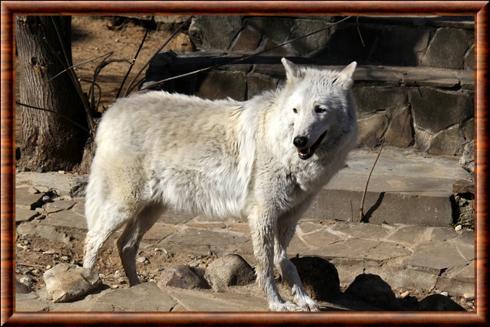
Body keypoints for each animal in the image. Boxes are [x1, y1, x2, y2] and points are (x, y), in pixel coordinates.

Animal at [84, 58, 358, 312]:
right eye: (295, 110)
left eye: (320, 109)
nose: (299, 140)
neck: (281, 147)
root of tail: (112, 111)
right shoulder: (262, 214)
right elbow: (266, 263)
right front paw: (277, 303)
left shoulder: (289, 218)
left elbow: (284, 261)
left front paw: (302, 299)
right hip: (124, 206)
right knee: (92, 240)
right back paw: (89, 283)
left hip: (151, 211)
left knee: (125, 245)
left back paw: (137, 288)